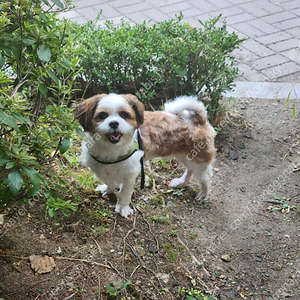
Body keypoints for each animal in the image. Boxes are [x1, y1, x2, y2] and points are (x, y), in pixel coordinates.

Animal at [74, 92, 216, 217]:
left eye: (124, 114)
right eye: (102, 115)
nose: (114, 123)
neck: (111, 149)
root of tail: (199, 120)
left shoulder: (130, 173)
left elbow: (125, 192)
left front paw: (123, 207)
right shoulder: (99, 167)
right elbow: (110, 181)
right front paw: (108, 189)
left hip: (199, 159)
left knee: (205, 178)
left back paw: (204, 194)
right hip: (187, 155)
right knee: (190, 170)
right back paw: (181, 182)